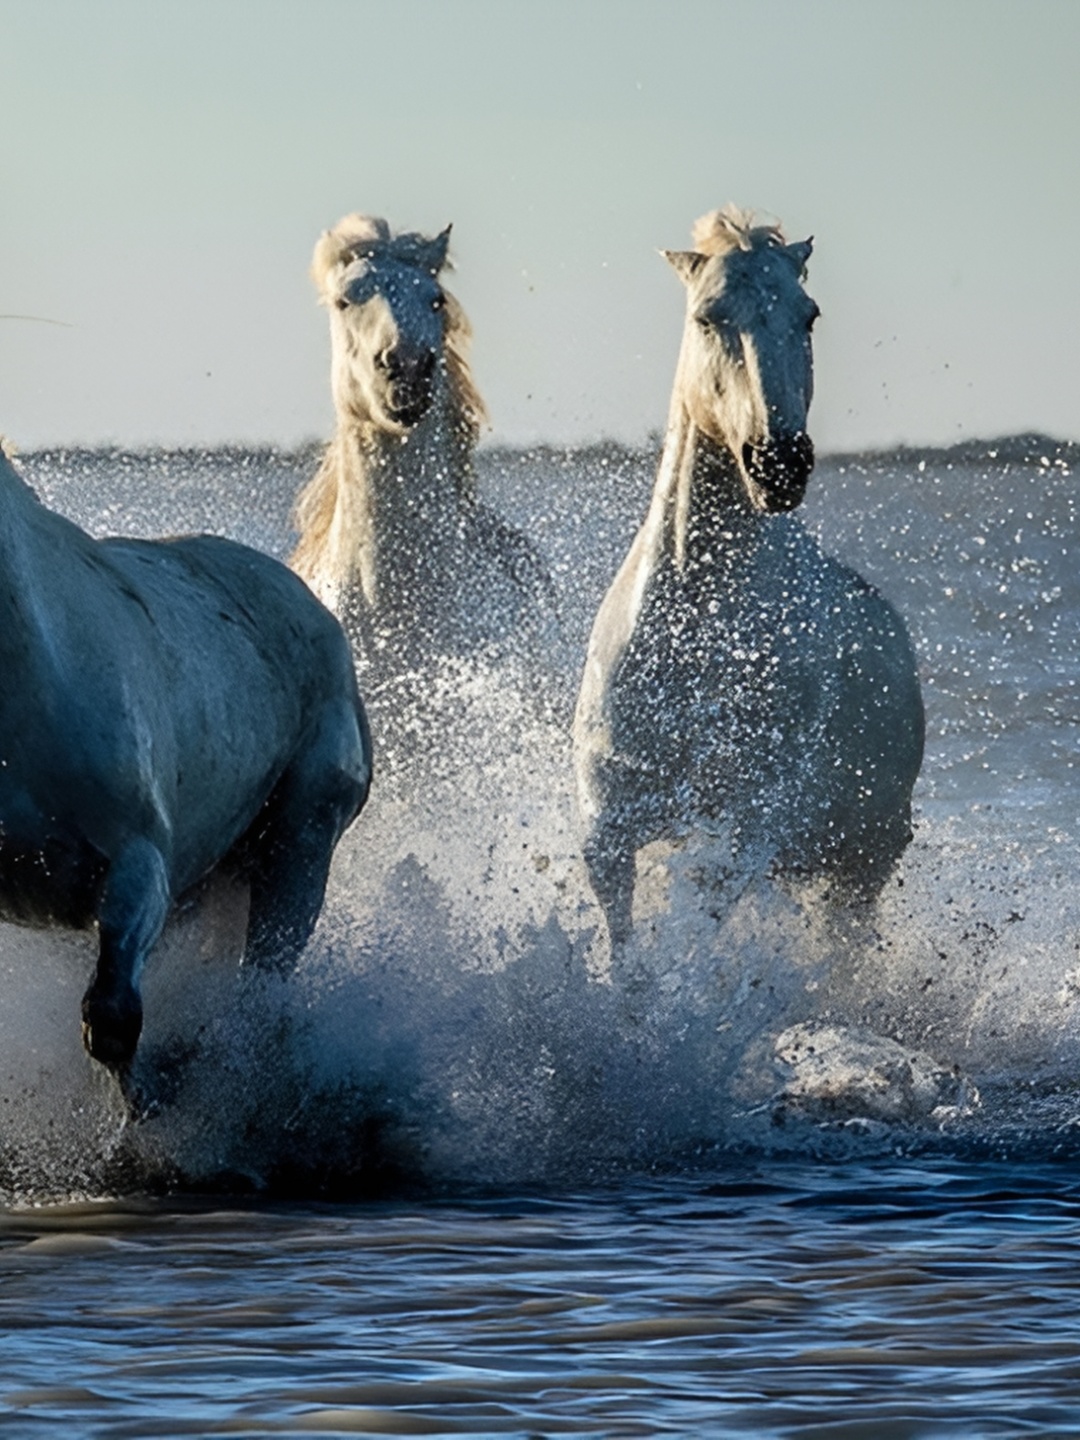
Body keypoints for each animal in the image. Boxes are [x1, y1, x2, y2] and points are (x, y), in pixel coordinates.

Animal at [578, 208, 927, 950]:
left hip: (862, 864)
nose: (779, 463)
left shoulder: (744, 829)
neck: (699, 632)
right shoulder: (608, 827)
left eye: (809, 315)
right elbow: (627, 955)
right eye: (708, 317)